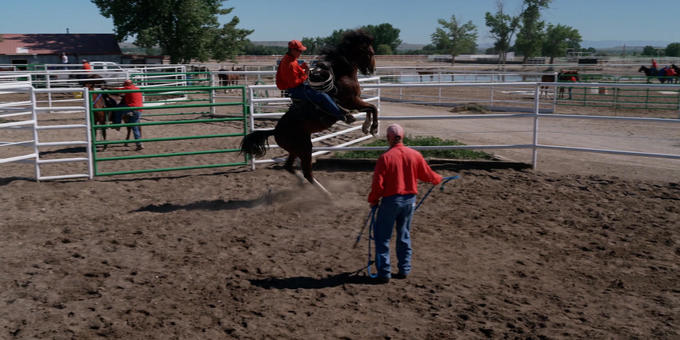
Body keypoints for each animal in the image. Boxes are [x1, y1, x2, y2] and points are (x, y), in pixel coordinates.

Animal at [239, 28, 378, 191]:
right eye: (370, 52)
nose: (371, 69)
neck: (341, 75)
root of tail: (275, 131)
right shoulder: (352, 102)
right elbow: (373, 108)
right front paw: (372, 128)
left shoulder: (355, 102)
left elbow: (370, 109)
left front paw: (366, 127)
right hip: (305, 148)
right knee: (307, 173)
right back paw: (326, 193)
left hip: (296, 149)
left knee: (289, 167)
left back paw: (304, 184)